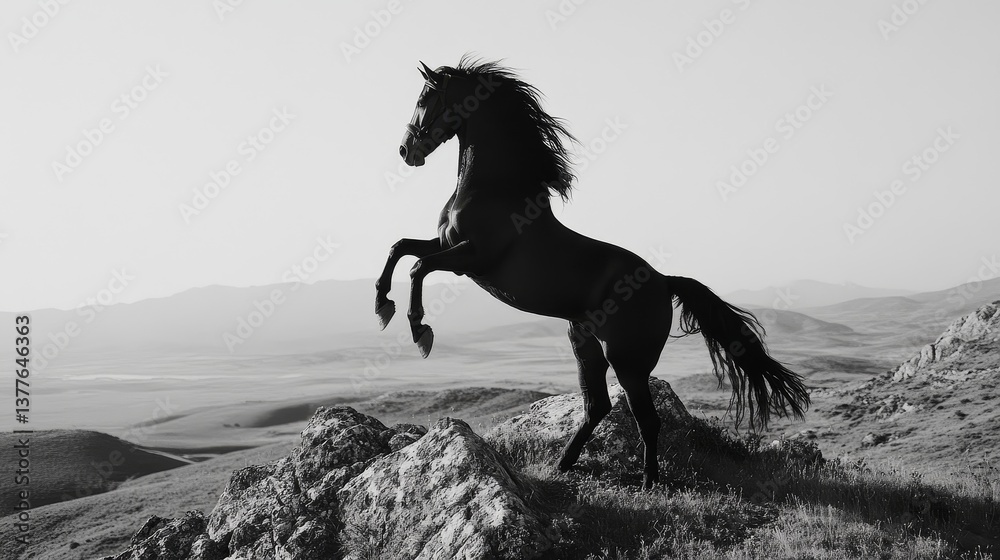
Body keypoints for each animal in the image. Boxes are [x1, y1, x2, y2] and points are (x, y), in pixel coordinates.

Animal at [375, 57, 810, 488]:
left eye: (424, 99)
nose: (405, 150)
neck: (495, 189)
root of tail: (664, 283)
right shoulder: (447, 246)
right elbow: (401, 248)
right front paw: (382, 307)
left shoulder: (473, 258)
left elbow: (418, 267)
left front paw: (420, 331)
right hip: (583, 341)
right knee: (597, 405)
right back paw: (565, 464)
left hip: (628, 361)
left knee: (645, 419)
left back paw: (648, 481)